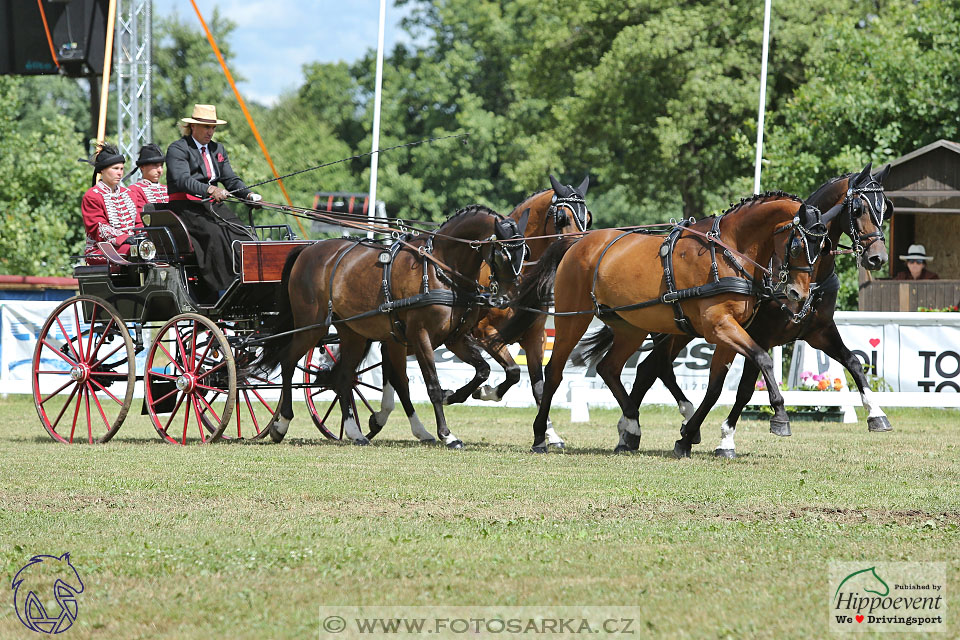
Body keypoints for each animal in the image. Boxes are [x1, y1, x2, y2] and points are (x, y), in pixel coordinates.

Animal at [251, 208, 528, 448]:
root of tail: (308, 249)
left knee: (343, 377)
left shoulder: (455, 338)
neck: (440, 268)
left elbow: (484, 370)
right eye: (502, 254)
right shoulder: (420, 336)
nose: (506, 300)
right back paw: (282, 424)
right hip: (311, 326)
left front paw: (467, 394)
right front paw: (447, 434)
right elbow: (432, 385)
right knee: (288, 361)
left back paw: (355, 432)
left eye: (524, 253)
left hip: (352, 333)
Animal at [496, 192, 832, 452]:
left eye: (823, 247)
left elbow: (715, 387)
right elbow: (763, 358)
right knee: (554, 372)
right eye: (798, 245)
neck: (728, 252)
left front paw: (686, 437)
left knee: (609, 368)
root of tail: (579, 241)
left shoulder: (731, 329)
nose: (798, 294)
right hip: (573, 320)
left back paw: (631, 427)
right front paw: (780, 416)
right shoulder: (719, 326)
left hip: (630, 326)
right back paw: (542, 436)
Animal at [596, 165, 896, 456]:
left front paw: (876, 414)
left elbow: (854, 362)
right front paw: (727, 438)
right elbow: (743, 390)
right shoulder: (759, 336)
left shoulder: (819, 332)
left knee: (648, 368)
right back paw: (634, 428)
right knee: (649, 368)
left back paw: (634, 430)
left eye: (885, 209)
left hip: (680, 329)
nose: (877, 258)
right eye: (858, 209)